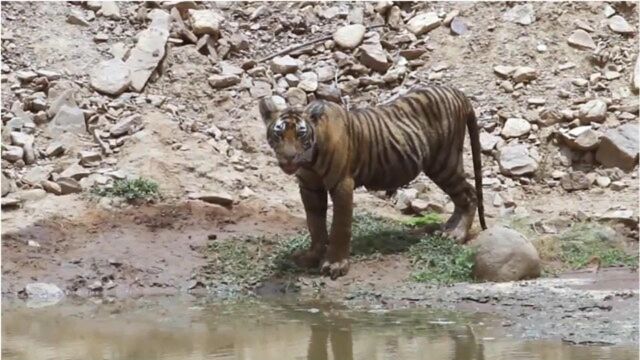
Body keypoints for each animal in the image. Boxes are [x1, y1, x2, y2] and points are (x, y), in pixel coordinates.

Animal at [258, 86, 488, 280]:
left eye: (301, 134)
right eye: (278, 134)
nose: (289, 158)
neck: (310, 161)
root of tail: (457, 92)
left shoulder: (342, 184)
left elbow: (340, 226)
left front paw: (335, 265)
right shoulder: (309, 187)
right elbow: (314, 224)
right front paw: (312, 256)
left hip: (443, 162)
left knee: (469, 194)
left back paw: (457, 234)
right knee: (461, 197)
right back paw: (448, 229)